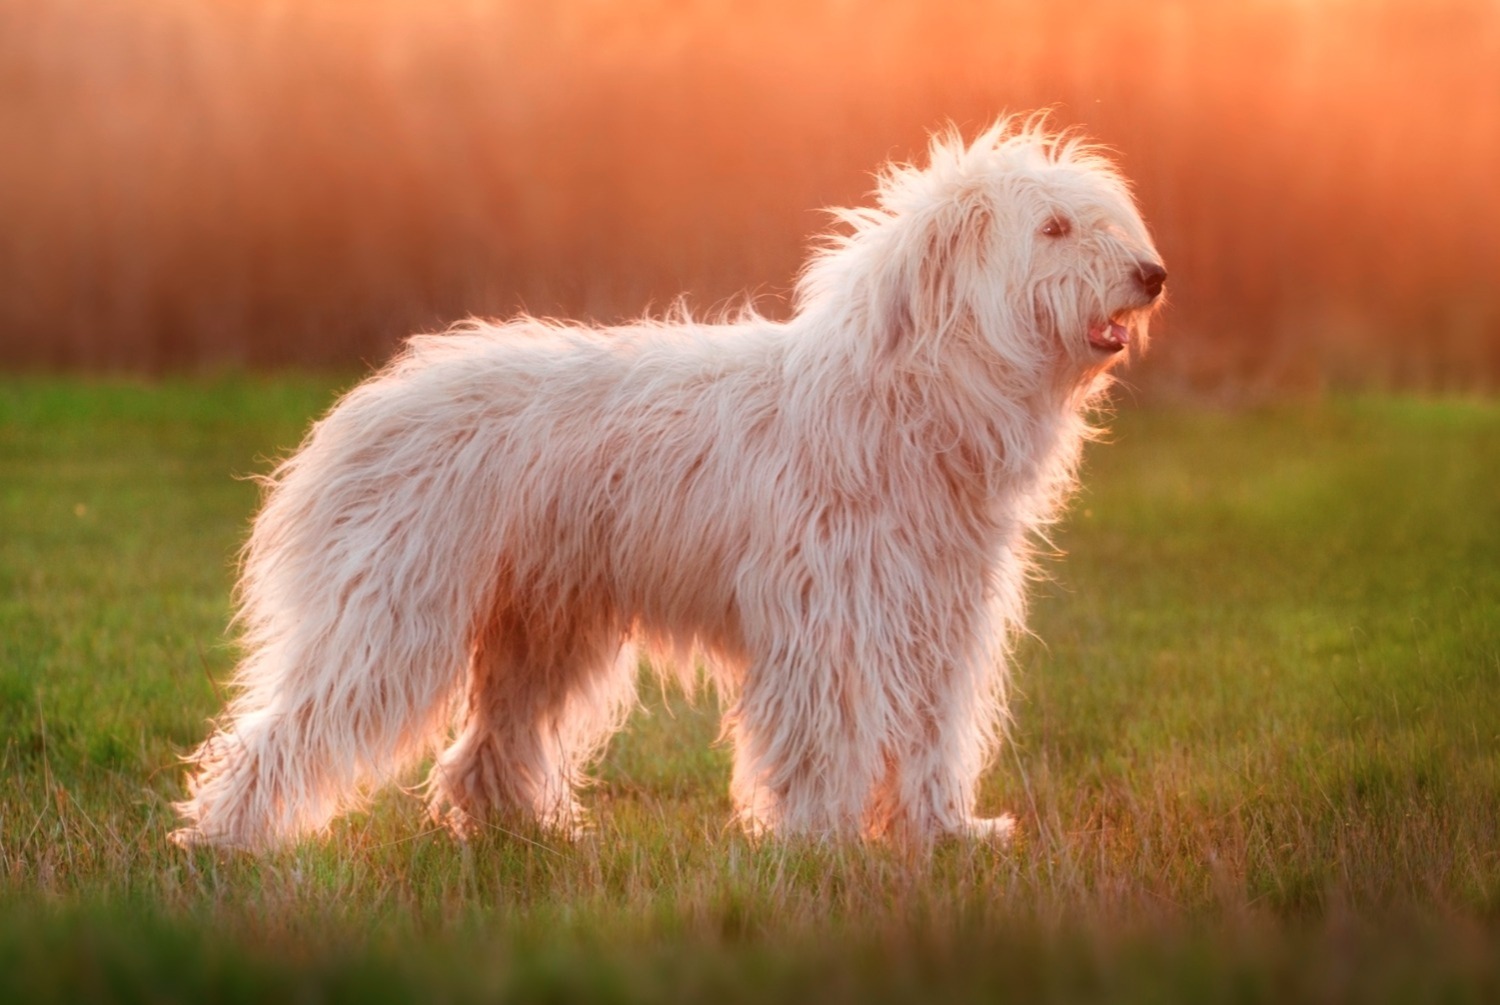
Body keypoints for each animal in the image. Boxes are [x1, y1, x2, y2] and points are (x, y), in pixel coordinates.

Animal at [170, 120, 1164, 858]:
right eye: (1053, 229)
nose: (1153, 275)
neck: (906, 396)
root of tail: (360, 409)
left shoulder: (938, 620)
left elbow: (933, 734)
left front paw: (944, 833)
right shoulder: (829, 623)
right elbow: (830, 733)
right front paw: (825, 842)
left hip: (544, 627)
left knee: (490, 745)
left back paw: (523, 833)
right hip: (394, 616)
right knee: (285, 728)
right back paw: (228, 840)